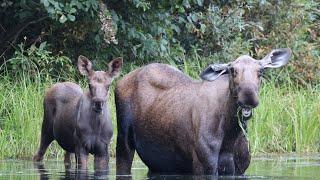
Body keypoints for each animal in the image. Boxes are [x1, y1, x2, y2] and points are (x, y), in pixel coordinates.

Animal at [116, 48, 292, 175]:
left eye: (260, 71)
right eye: (232, 70)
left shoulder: (239, 169)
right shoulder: (204, 165)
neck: (231, 133)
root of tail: (120, 81)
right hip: (123, 139)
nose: (248, 96)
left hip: (159, 162)